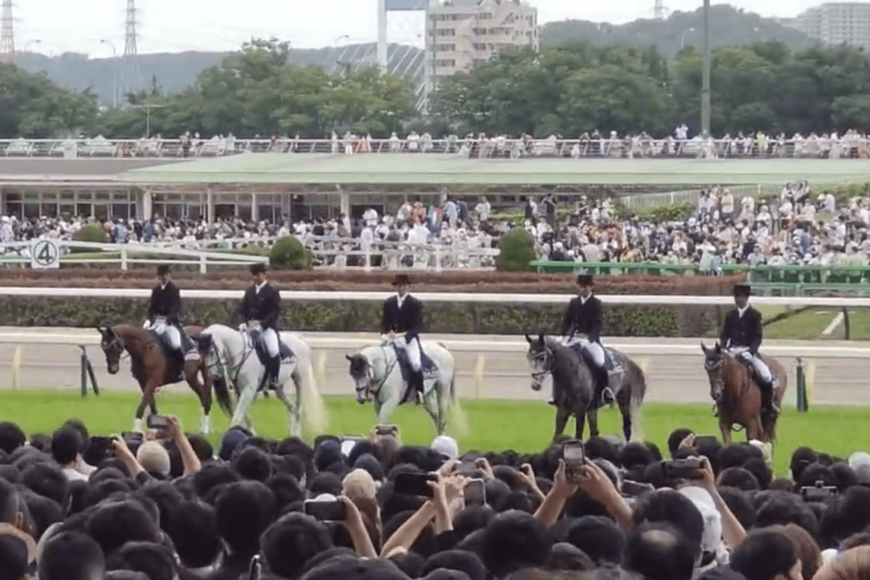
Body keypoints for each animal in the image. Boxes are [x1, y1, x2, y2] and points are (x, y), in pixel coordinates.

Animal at [97, 324, 232, 432]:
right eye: (103, 347)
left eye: (112, 346)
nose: (112, 369)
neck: (146, 349)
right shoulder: (143, 383)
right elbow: (152, 405)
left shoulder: (152, 381)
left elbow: (142, 404)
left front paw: (136, 431)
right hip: (192, 377)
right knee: (203, 395)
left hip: (206, 373)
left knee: (206, 397)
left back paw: (204, 430)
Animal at [196, 324, 328, 438]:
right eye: (200, 353)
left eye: (211, 352)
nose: (213, 375)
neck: (239, 353)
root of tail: (298, 338)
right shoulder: (240, 392)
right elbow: (245, 416)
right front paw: (252, 434)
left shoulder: (249, 390)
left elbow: (237, 417)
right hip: (279, 389)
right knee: (293, 408)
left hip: (300, 380)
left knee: (299, 409)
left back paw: (296, 435)